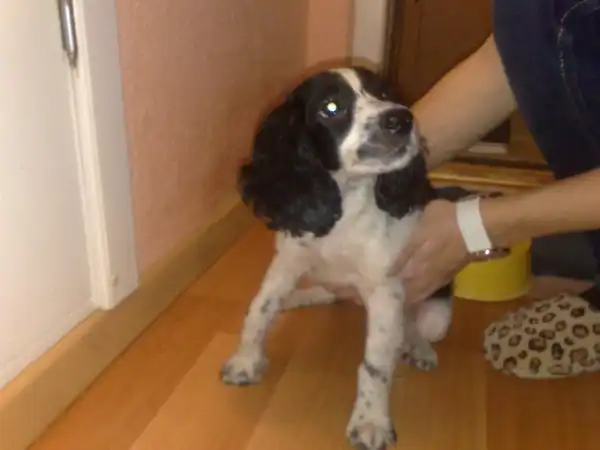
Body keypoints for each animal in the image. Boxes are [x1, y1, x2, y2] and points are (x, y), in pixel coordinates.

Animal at [220, 66, 452, 450]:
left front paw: (370, 422)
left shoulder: (385, 289)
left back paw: (418, 349)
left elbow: (375, 363)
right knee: (326, 293)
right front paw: (246, 361)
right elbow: (259, 310)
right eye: (331, 108)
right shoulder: (288, 259)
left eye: (385, 94)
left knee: (415, 325)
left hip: (436, 314)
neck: (346, 199)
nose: (402, 118)